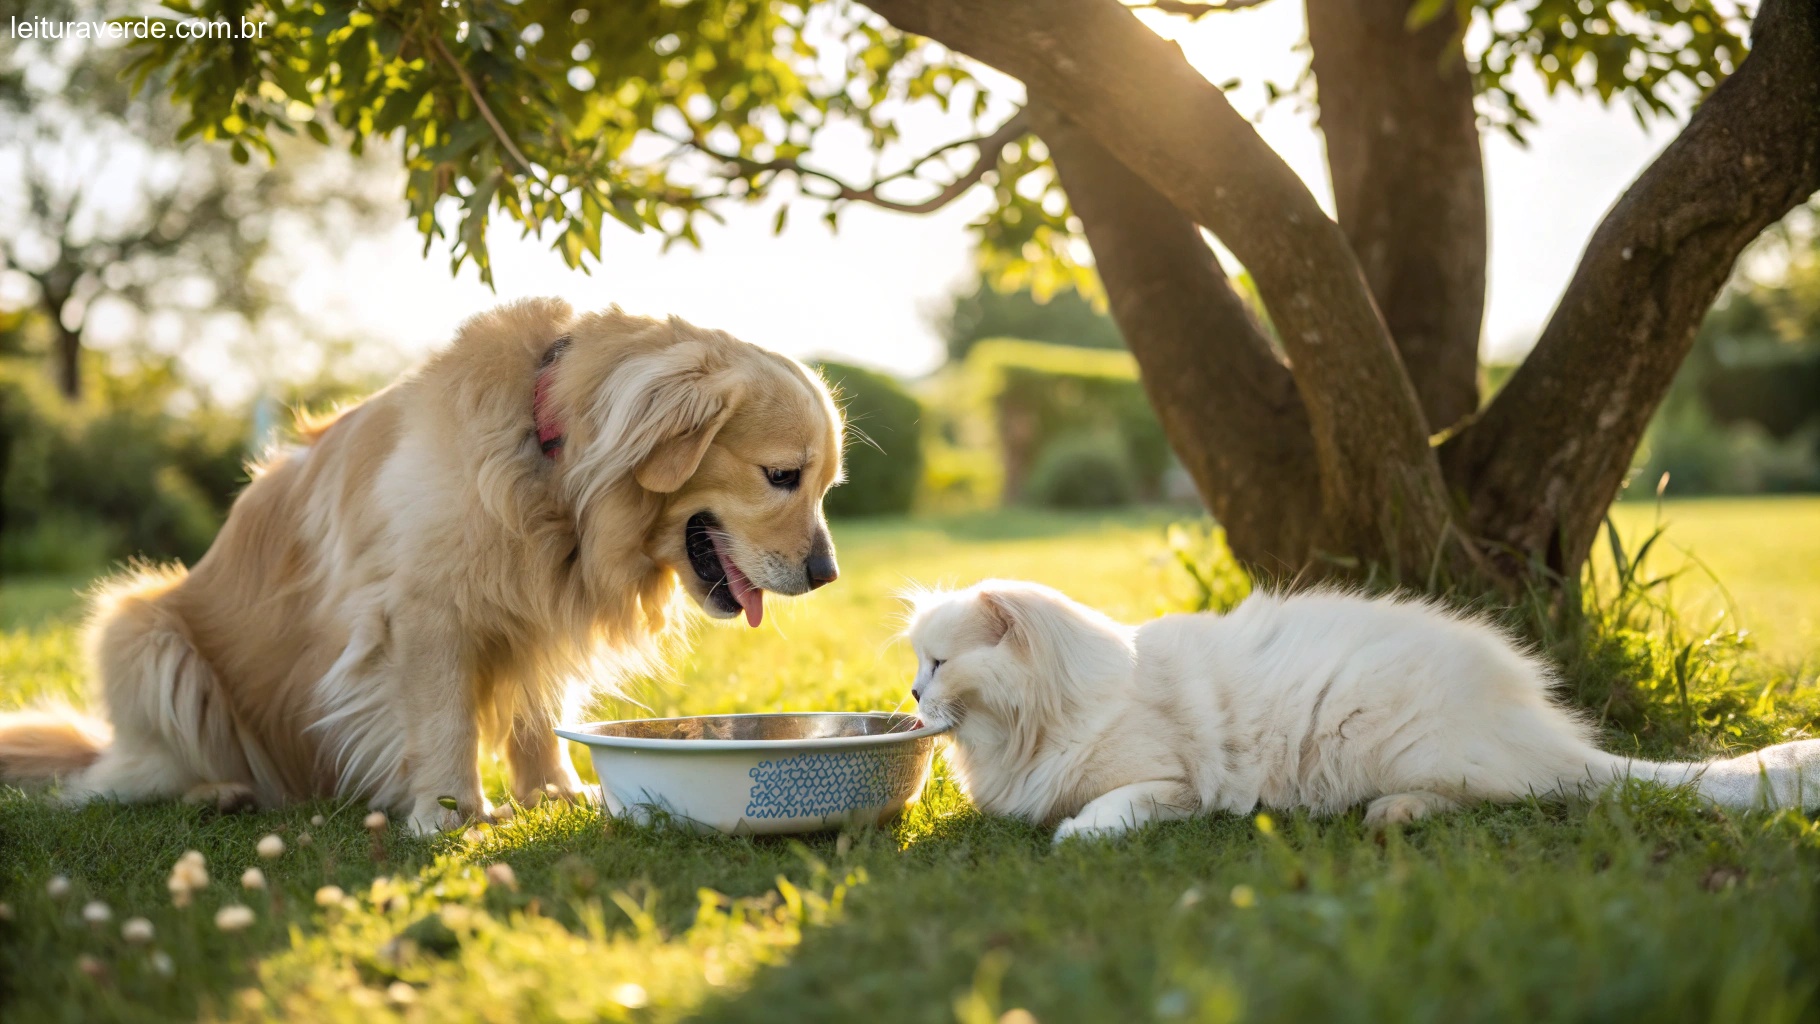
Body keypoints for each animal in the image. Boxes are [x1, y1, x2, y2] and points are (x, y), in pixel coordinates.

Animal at [0, 296, 844, 833]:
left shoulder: (533, 612)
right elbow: (443, 723)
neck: (549, 461)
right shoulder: (422, 615)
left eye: (825, 485)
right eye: (781, 476)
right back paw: (218, 790)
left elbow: (535, 716)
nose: (827, 575)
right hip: (141, 628)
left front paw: (553, 794)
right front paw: (451, 815)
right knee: (137, 779)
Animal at [906, 582, 1820, 843]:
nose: (911, 697)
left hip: (1394, 742)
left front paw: (1073, 836)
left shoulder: (1170, 785)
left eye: (938, 664)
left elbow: (1103, 812)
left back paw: (1393, 815)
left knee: (1529, 796)